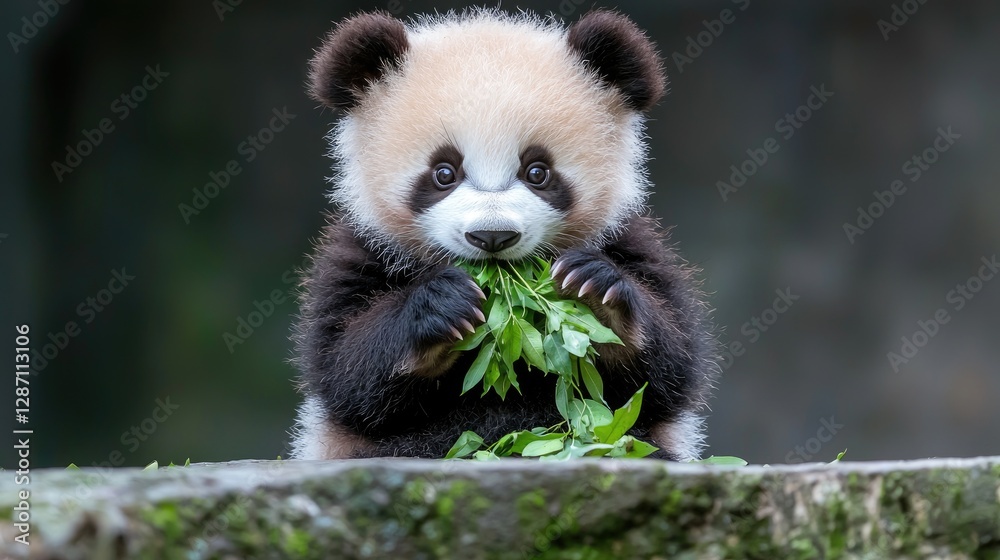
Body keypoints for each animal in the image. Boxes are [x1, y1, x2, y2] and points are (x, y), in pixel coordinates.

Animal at [289, 8, 718, 462]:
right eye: (444, 172)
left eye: (537, 172)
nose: (492, 236)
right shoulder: (364, 247)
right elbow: (344, 374)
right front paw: (444, 304)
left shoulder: (628, 239)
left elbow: (669, 370)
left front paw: (593, 290)